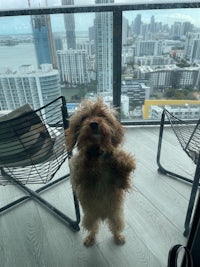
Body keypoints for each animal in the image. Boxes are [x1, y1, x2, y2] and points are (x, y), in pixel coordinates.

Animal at [65, 97, 136, 248]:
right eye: (84, 118)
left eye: (102, 116)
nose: (93, 124)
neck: (97, 156)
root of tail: (103, 216)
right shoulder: (79, 178)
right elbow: (83, 166)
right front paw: (88, 155)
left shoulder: (121, 183)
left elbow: (123, 165)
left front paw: (121, 158)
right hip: (89, 218)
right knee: (93, 230)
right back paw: (90, 239)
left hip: (117, 217)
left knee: (115, 229)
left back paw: (118, 237)